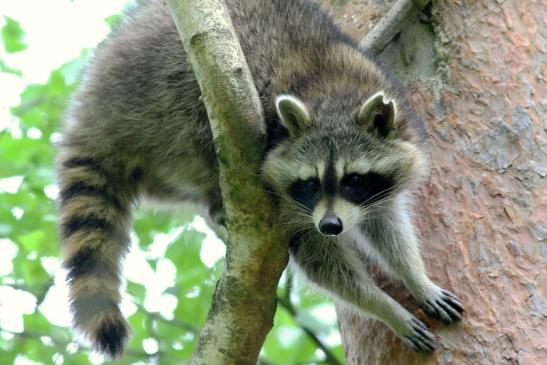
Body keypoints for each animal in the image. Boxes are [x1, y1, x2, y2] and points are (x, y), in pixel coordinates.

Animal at [57, 0, 464, 356]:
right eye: (311, 183)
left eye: (353, 179)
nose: (331, 225)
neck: (333, 93)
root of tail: (92, 110)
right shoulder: (286, 197)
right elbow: (318, 258)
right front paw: (385, 308)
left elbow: (387, 223)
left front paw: (415, 276)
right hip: (157, 100)